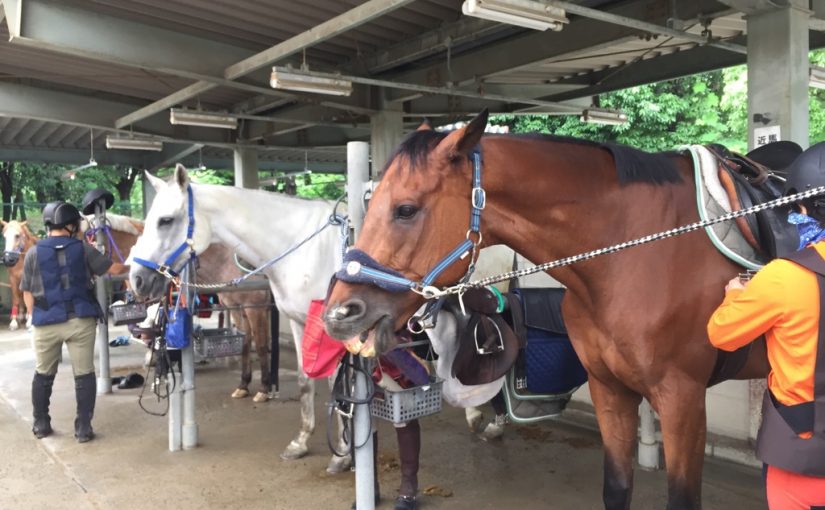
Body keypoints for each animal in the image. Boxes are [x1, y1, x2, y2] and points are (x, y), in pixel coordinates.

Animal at [84, 213, 275, 403]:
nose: (136, 287)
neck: (227, 262)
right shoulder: (237, 308)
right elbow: (245, 343)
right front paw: (243, 386)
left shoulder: (255, 308)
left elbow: (260, 345)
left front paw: (264, 389)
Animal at [128, 165, 352, 473]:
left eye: (166, 220)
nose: (137, 279)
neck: (305, 248)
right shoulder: (297, 322)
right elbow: (305, 379)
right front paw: (300, 442)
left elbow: (334, 385)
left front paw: (342, 454)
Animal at [323, 111, 771, 510]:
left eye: (406, 209)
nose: (339, 313)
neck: (638, 250)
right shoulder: (610, 389)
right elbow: (616, 488)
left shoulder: (683, 399)